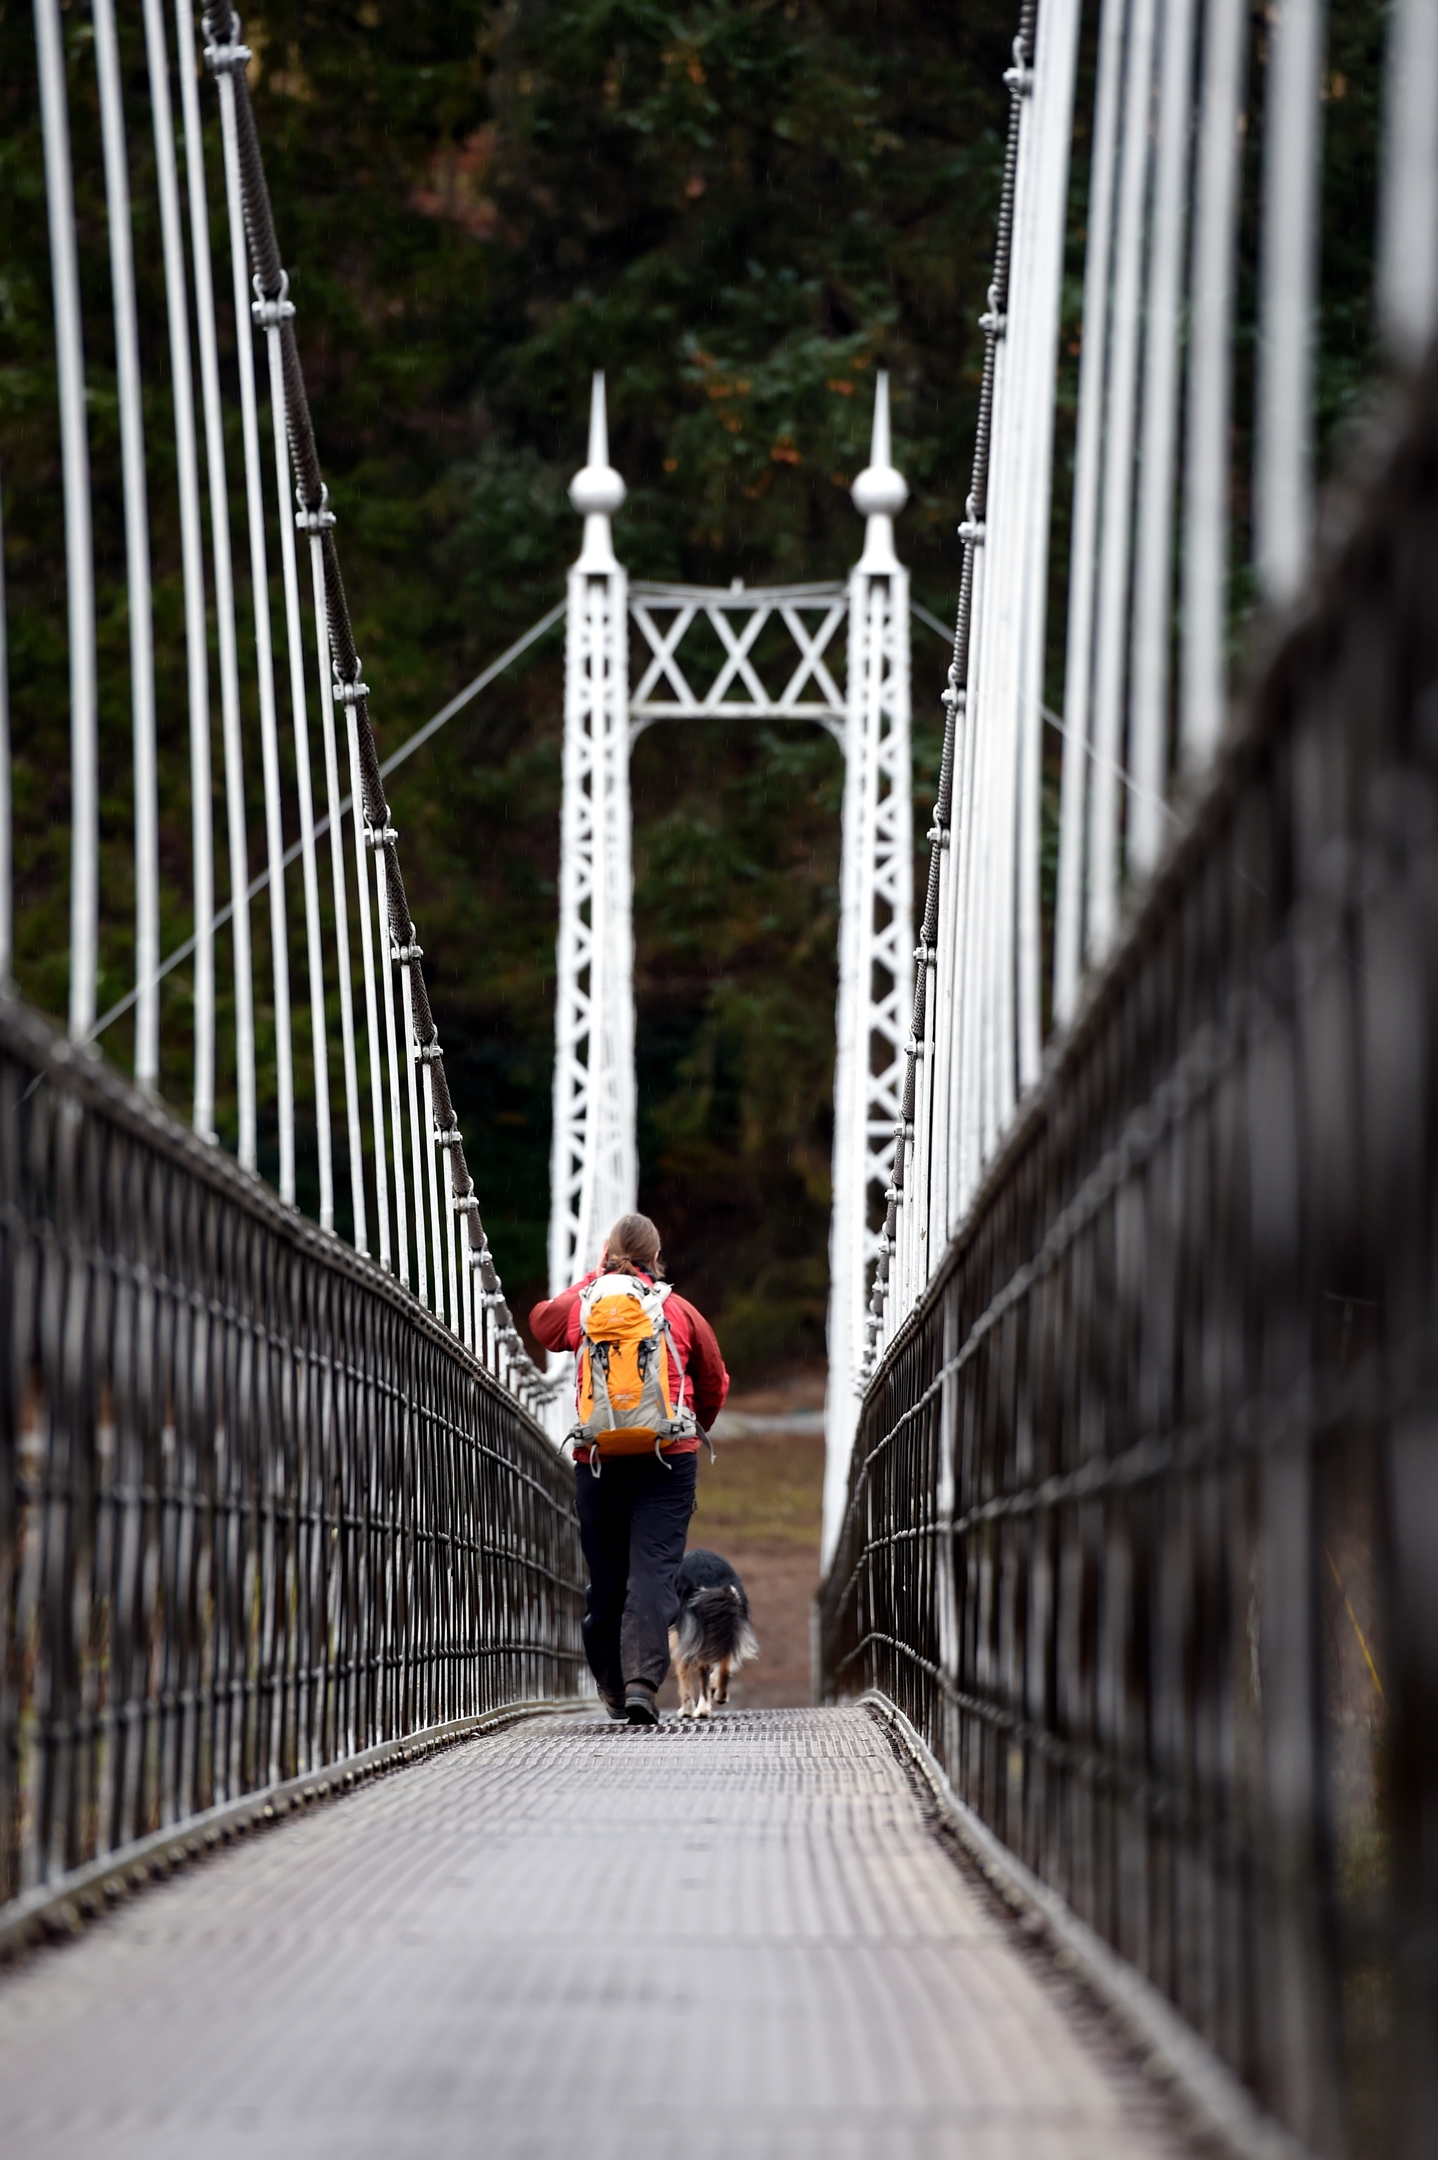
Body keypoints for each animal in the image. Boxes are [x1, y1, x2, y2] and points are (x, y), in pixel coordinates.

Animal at [669, 1555, 760, 1719]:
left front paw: (686, 1710)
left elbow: (683, 1673)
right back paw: (720, 1695)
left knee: (703, 1669)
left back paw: (702, 1709)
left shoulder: (682, 1640)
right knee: (725, 1665)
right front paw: (714, 1685)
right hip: (728, 1626)